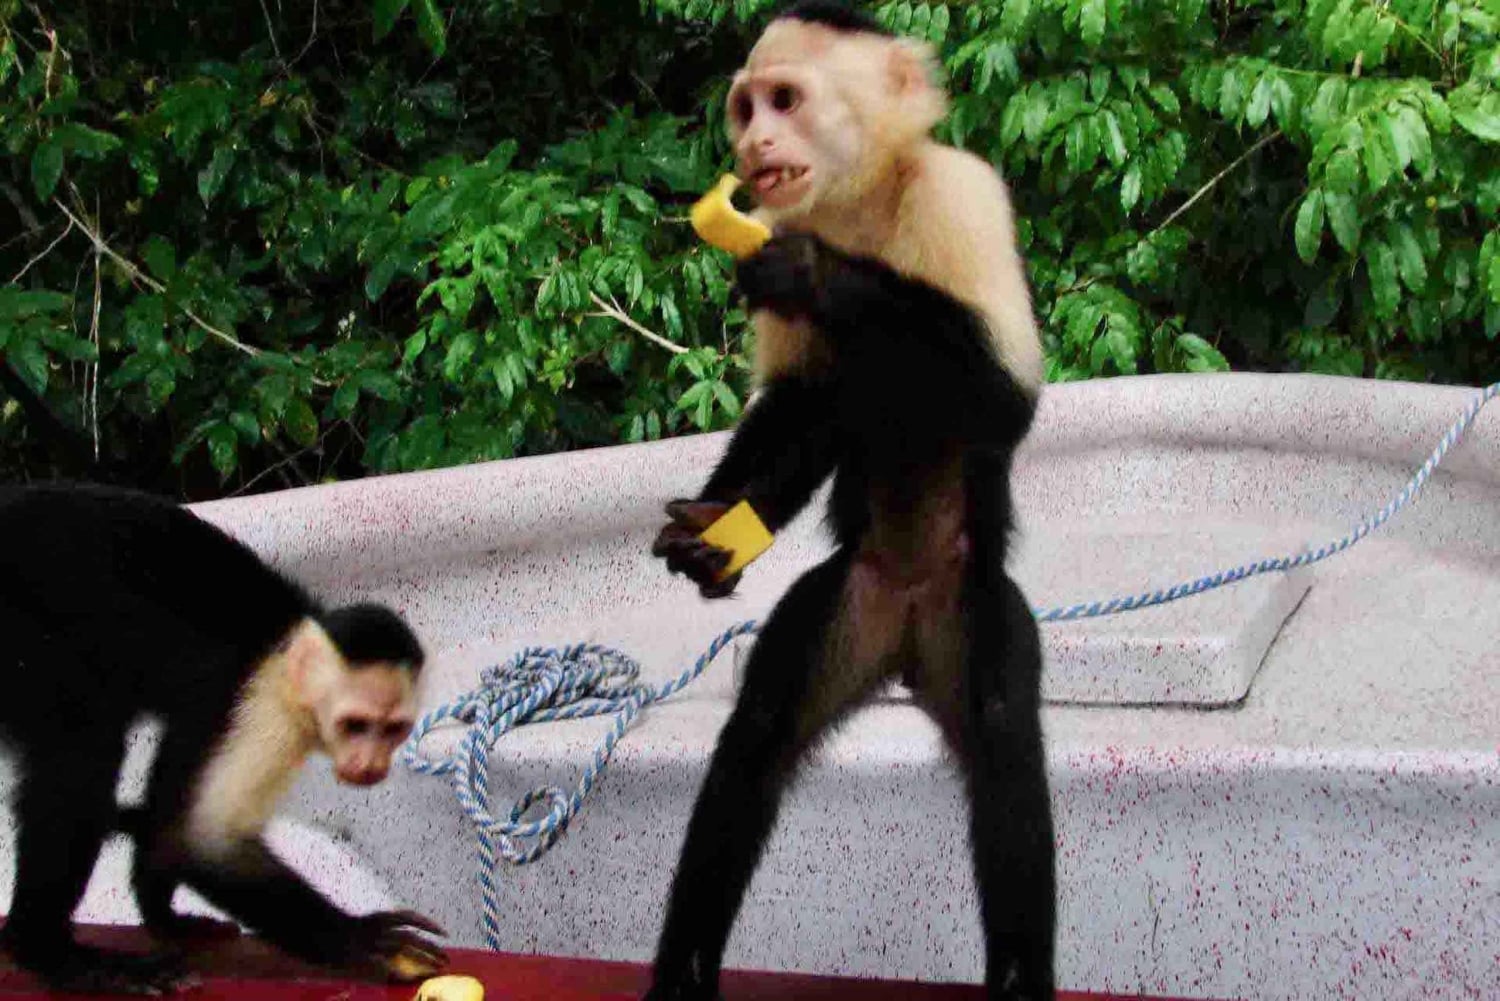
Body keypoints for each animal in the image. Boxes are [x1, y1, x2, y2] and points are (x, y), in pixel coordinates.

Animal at [0, 481, 448, 994]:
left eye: (393, 730)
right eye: (355, 725)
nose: (371, 766)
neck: (285, 660)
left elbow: (171, 817)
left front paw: (164, 916)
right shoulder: (259, 709)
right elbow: (204, 841)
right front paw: (361, 938)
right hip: (18, 630)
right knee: (84, 745)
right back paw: (51, 953)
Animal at [646, 4, 1053, 1000]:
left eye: (786, 100)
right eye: (747, 106)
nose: (754, 142)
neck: (858, 204)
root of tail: (903, 624)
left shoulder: (961, 192)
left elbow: (1004, 400)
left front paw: (817, 275)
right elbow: (806, 406)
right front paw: (716, 525)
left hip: (965, 602)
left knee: (1004, 742)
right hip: (847, 600)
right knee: (756, 738)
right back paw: (683, 972)